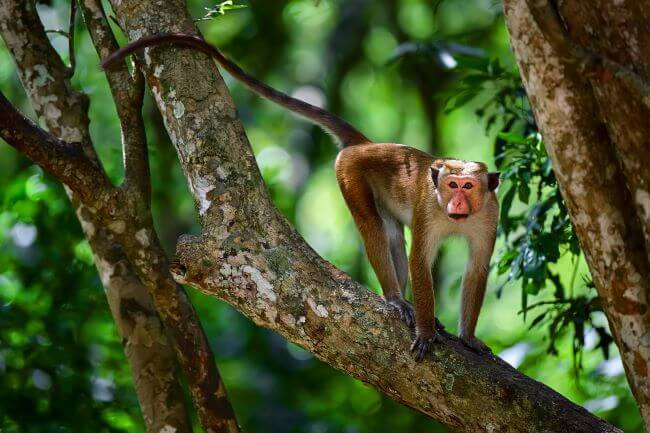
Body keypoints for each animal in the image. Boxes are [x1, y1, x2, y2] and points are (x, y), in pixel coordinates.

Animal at [101, 33, 498, 362]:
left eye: (468, 186)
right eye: (451, 185)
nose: (456, 202)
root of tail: (366, 144)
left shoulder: (488, 217)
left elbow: (476, 269)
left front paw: (468, 337)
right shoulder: (429, 208)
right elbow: (420, 261)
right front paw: (427, 330)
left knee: (390, 235)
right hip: (350, 172)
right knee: (375, 229)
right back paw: (397, 299)